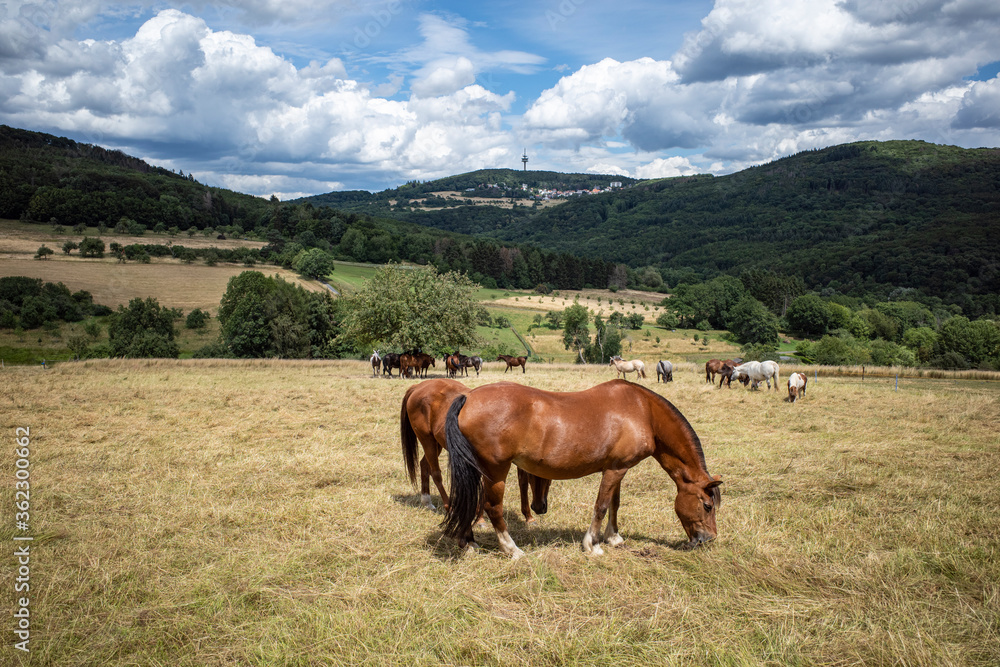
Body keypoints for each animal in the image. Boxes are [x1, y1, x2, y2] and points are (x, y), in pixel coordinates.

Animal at [398, 380, 552, 520]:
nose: (539, 507)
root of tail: (418, 386)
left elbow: (522, 483)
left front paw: (528, 516)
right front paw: (480, 518)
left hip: (437, 444)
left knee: (424, 465)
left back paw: (427, 501)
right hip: (427, 440)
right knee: (436, 474)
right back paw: (449, 507)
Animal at [444, 380, 720, 560]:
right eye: (707, 505)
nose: (708, 539)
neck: (644, 411)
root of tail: (469, 398)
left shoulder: (618, 469)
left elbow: (614, 504)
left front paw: (614, 537)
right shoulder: (614, 470)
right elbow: (601, 506)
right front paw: (593, 545)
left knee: (470, 501)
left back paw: (468, 543)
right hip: (496, 471)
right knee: (492, 508)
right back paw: (512, 550)